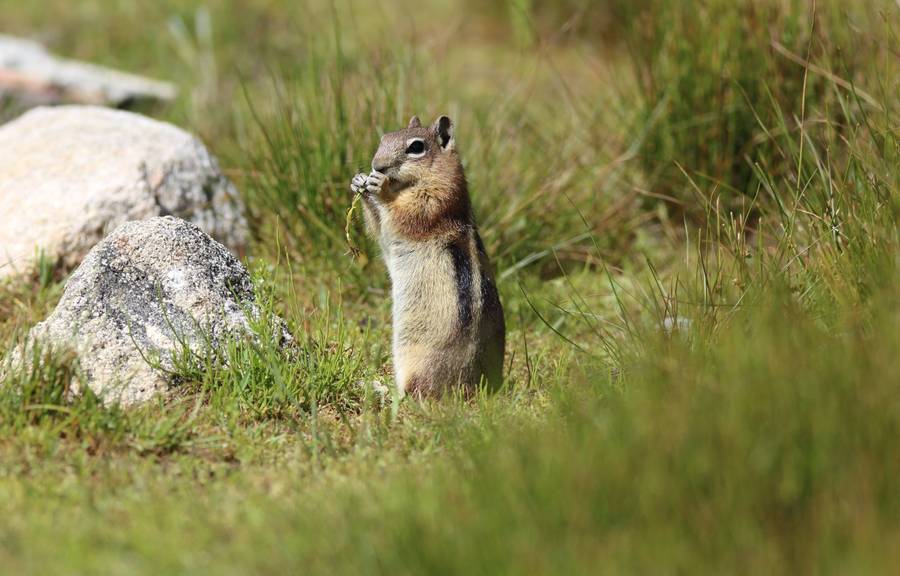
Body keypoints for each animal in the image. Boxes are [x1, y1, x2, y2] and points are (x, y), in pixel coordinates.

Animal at [350, 115, 505, 398]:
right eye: (384, 138)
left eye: (416, 147)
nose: (377, 166)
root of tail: (473, 388)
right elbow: (379, 229)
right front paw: (359, 182)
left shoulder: (437, 201)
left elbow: (406, 213)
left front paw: (380, 188)